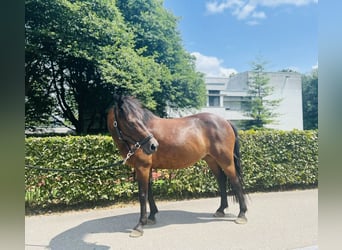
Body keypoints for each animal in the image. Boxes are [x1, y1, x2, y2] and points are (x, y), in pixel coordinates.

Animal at [107, 95, 246, 236]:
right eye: (130, 122)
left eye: (139, 120)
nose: (153, 145)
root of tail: (226, 122)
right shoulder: (147, 168)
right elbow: (149, 192)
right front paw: (152, 216)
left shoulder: (143, 168)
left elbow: (142, 195)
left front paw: (140, 226)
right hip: (211, 159)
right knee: (221, 180)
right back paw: (221, 210)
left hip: (226, 161)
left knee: (235, 181)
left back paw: (242, 214)